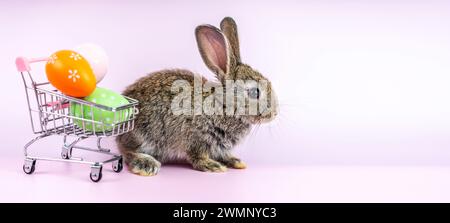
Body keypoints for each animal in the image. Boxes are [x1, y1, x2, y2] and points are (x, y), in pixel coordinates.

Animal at [116, 16, 278, 175]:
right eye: (255, 92)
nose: (275, 113)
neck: (222, 104)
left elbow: (223, 154)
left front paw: (234, 161)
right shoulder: (196, 138)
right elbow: (198, 156)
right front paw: (212, 166)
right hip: (143, 135)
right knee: (127, 152)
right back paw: (145, 164)